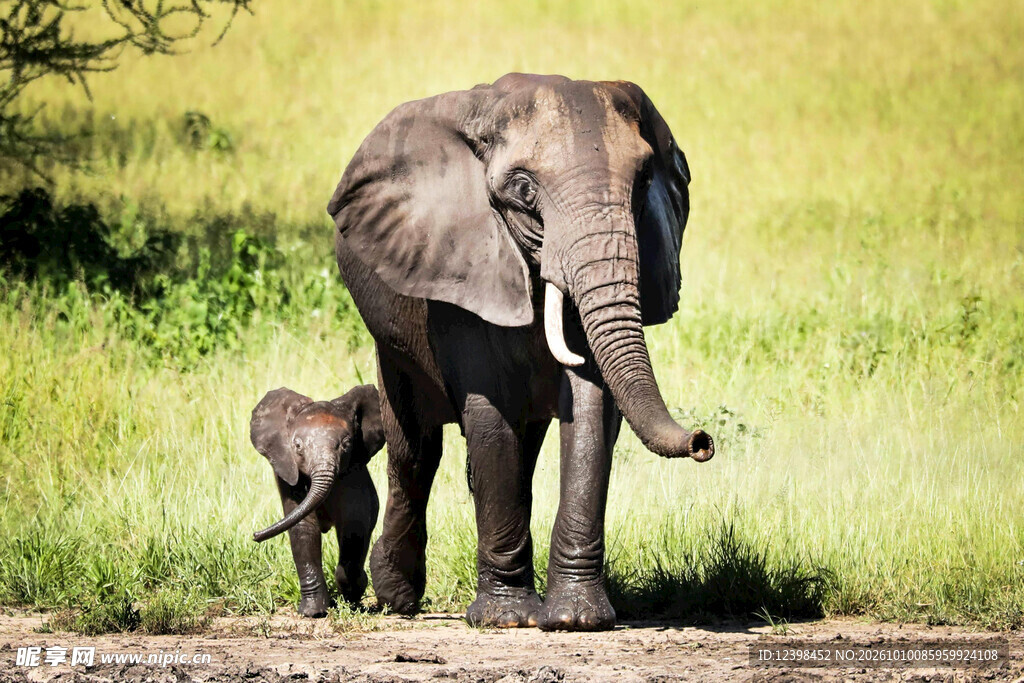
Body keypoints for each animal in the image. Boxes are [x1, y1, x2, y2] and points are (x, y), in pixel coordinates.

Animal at [249, 384, 385, 617]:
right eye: (297, 446)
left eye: (347, 444)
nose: (255, 536)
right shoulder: (288, 472)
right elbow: (303, 529)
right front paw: (313, 613)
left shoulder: (353, 472)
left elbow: (354, 525)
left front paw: (352, 596)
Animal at [326, 73, 714, 631]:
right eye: (524, 190)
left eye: (643, 185)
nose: (703, 441)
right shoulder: (459, 263)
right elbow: (489, 412)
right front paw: (507, 620)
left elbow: (592, 406)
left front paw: (576, 620)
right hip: (390, 334)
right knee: (415, 449)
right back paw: (397, 597)